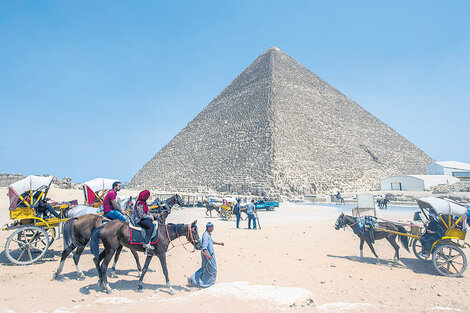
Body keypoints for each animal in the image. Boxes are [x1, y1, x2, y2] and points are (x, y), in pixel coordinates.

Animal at [53, 194, 182, 280]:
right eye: (180, 198)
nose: (162, 222)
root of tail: (76, 218)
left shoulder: (120, 244)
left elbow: (117, 256)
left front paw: (114, 272)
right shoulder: (129, 243)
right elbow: (135, 256)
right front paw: (139, 271)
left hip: (78, 240)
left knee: (65, 252)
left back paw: (58, 272)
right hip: (83, 241)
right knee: (76, 255)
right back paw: (81, 274)